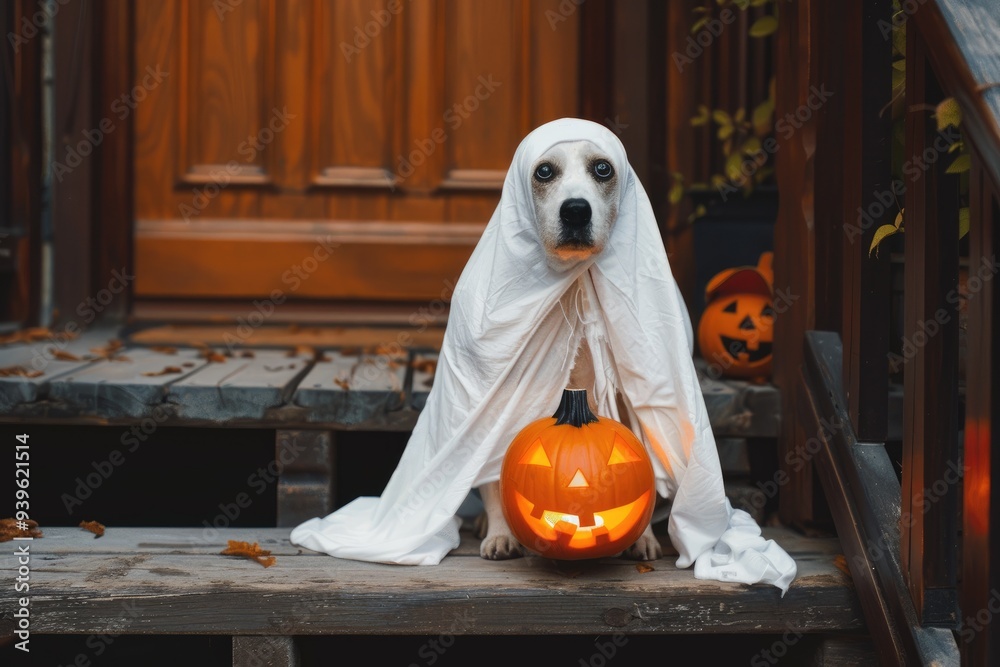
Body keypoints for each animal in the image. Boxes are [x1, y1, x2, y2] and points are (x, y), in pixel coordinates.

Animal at [474, 141, 664, 564]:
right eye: (544, 171)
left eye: (603, 168)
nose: (576, 209)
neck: (572, 280)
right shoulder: (499, 397)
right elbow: (493, 478)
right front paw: (500, 532)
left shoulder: (626, 399)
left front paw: (643, 537)